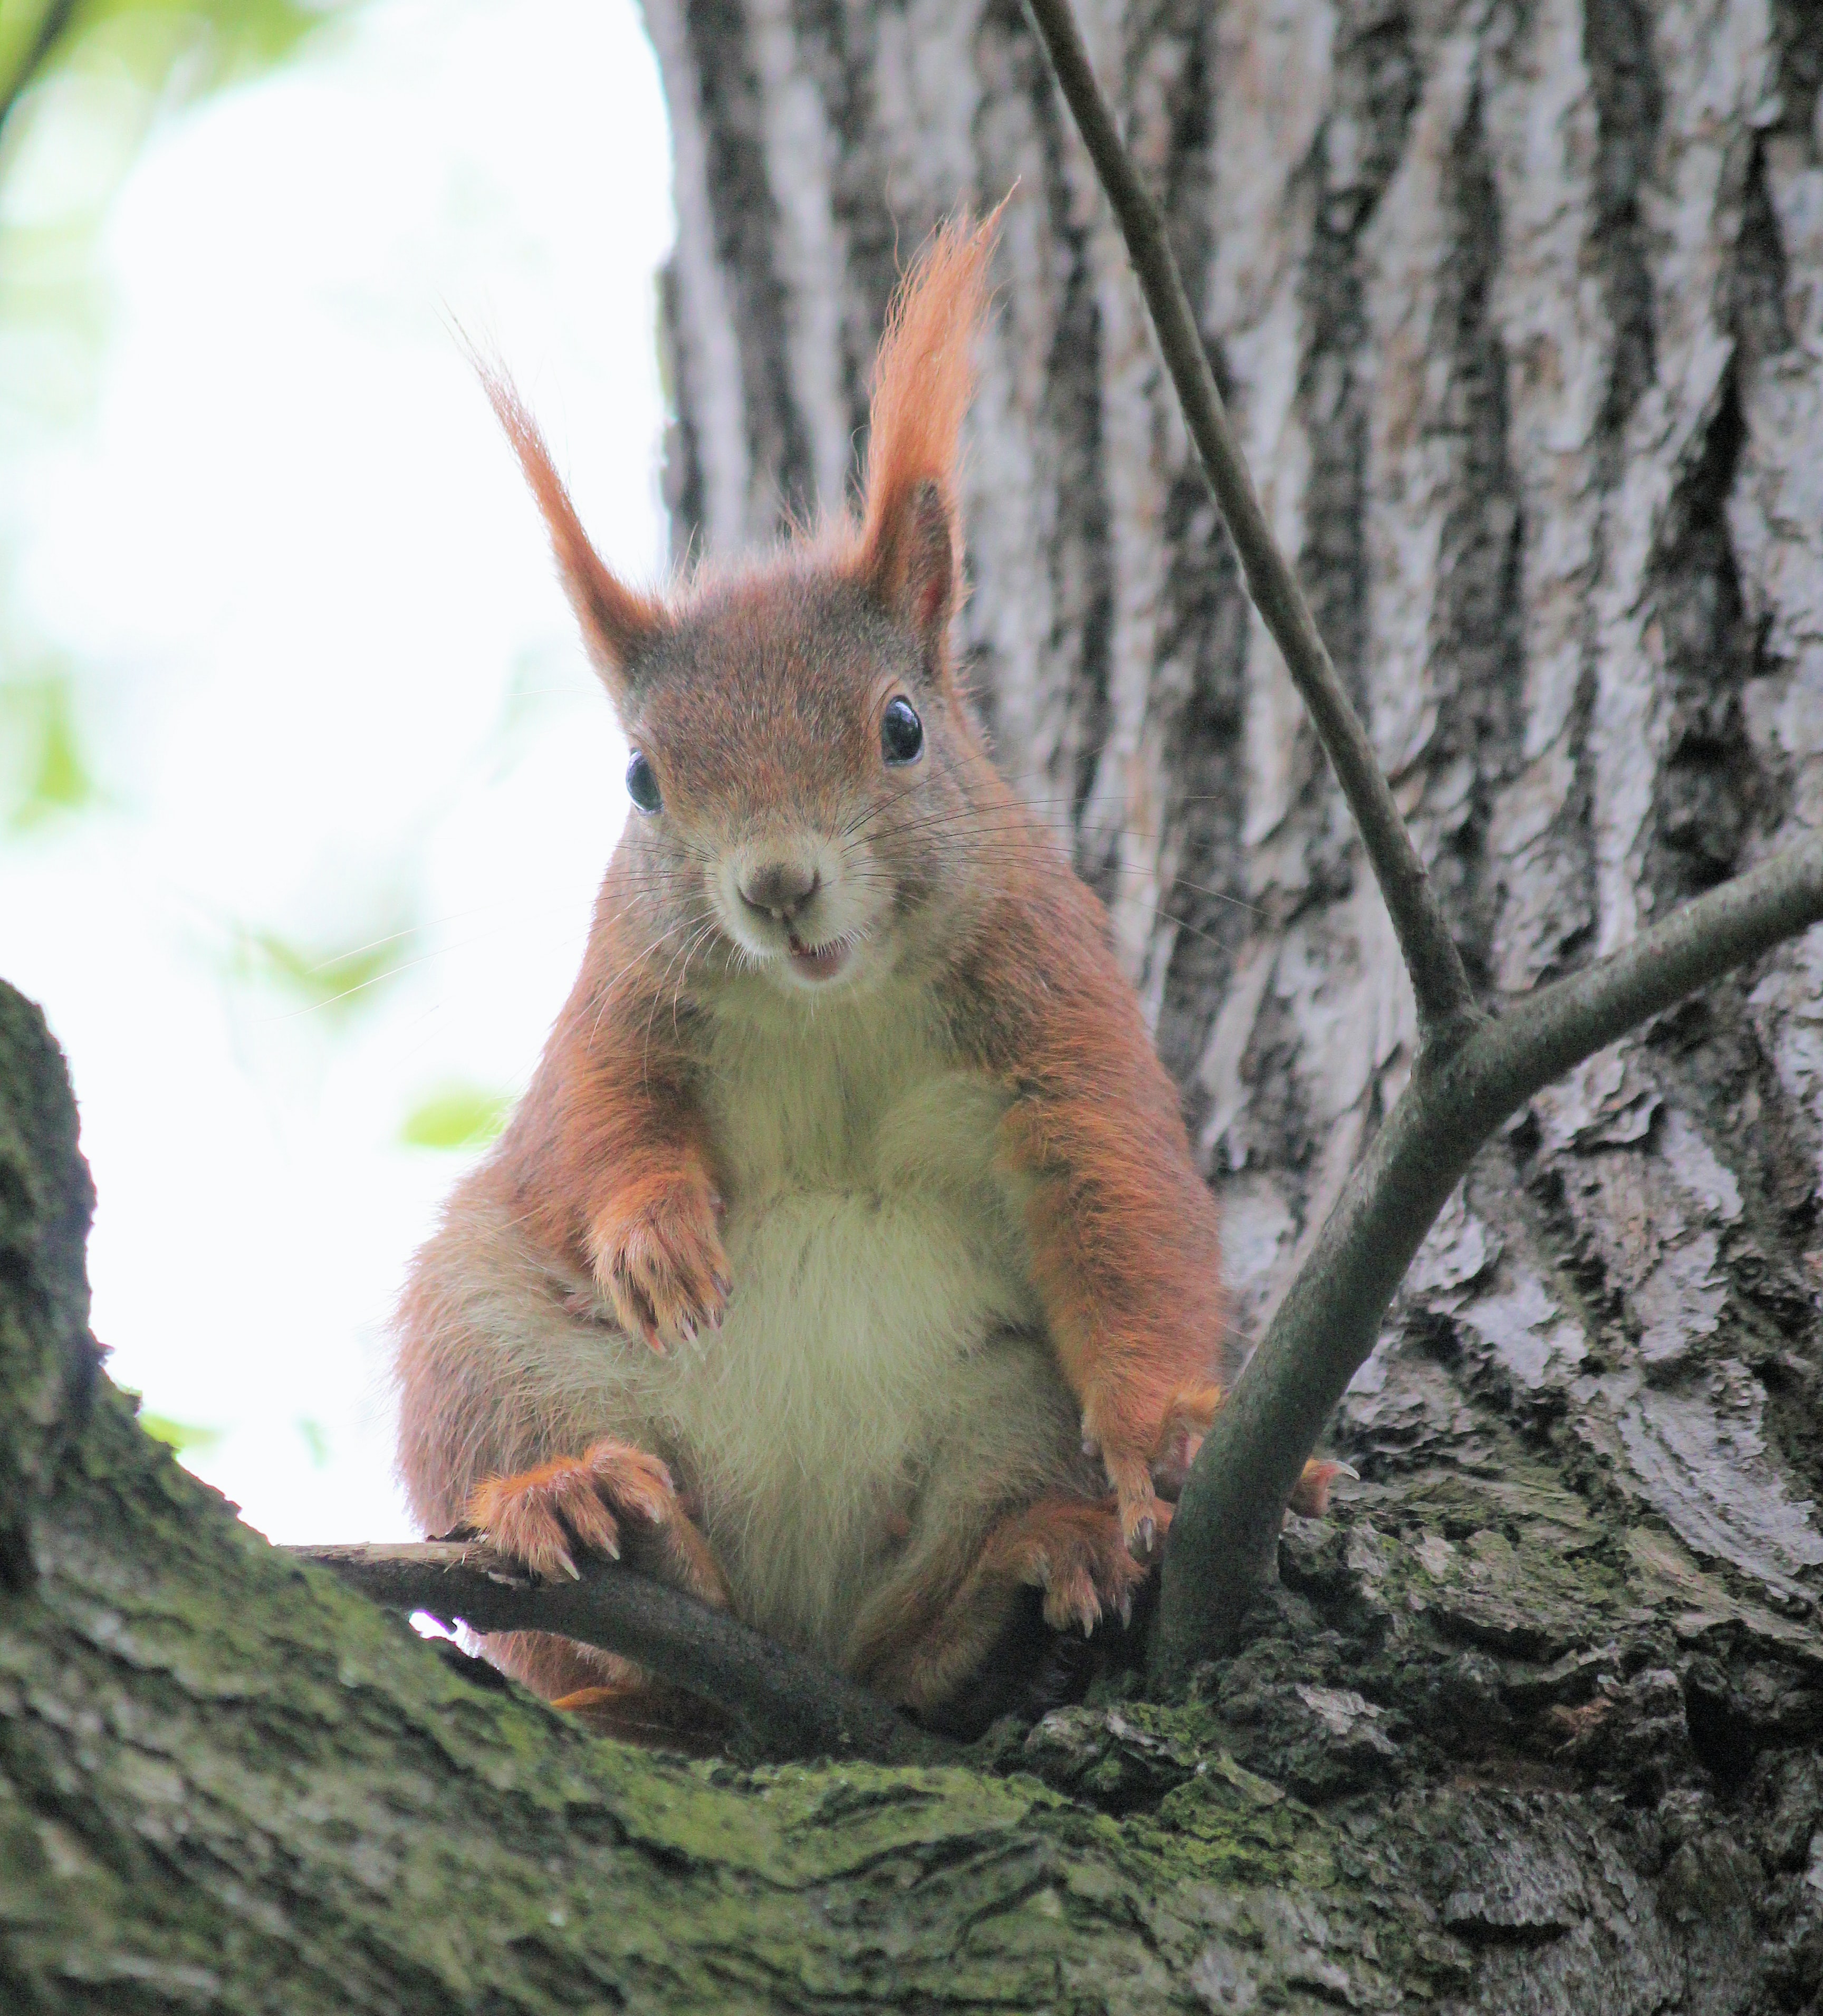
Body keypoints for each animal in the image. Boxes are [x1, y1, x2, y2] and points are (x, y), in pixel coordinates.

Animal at [393, 215, 1328, 1739]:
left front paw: (1166, 1433)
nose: (776, 885)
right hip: (482, 1340)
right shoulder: (618, 996)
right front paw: (654, 1236)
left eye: (901, 727)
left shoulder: (1057, 1004)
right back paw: (593, 1509)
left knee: (910, 1650)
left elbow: (1122, 1200)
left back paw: (1019, 1572)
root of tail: (788, 1640)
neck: (830, 1003)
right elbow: (597, 1122)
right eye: (642, 779)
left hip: (1003, 1421)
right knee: (589, 1574)